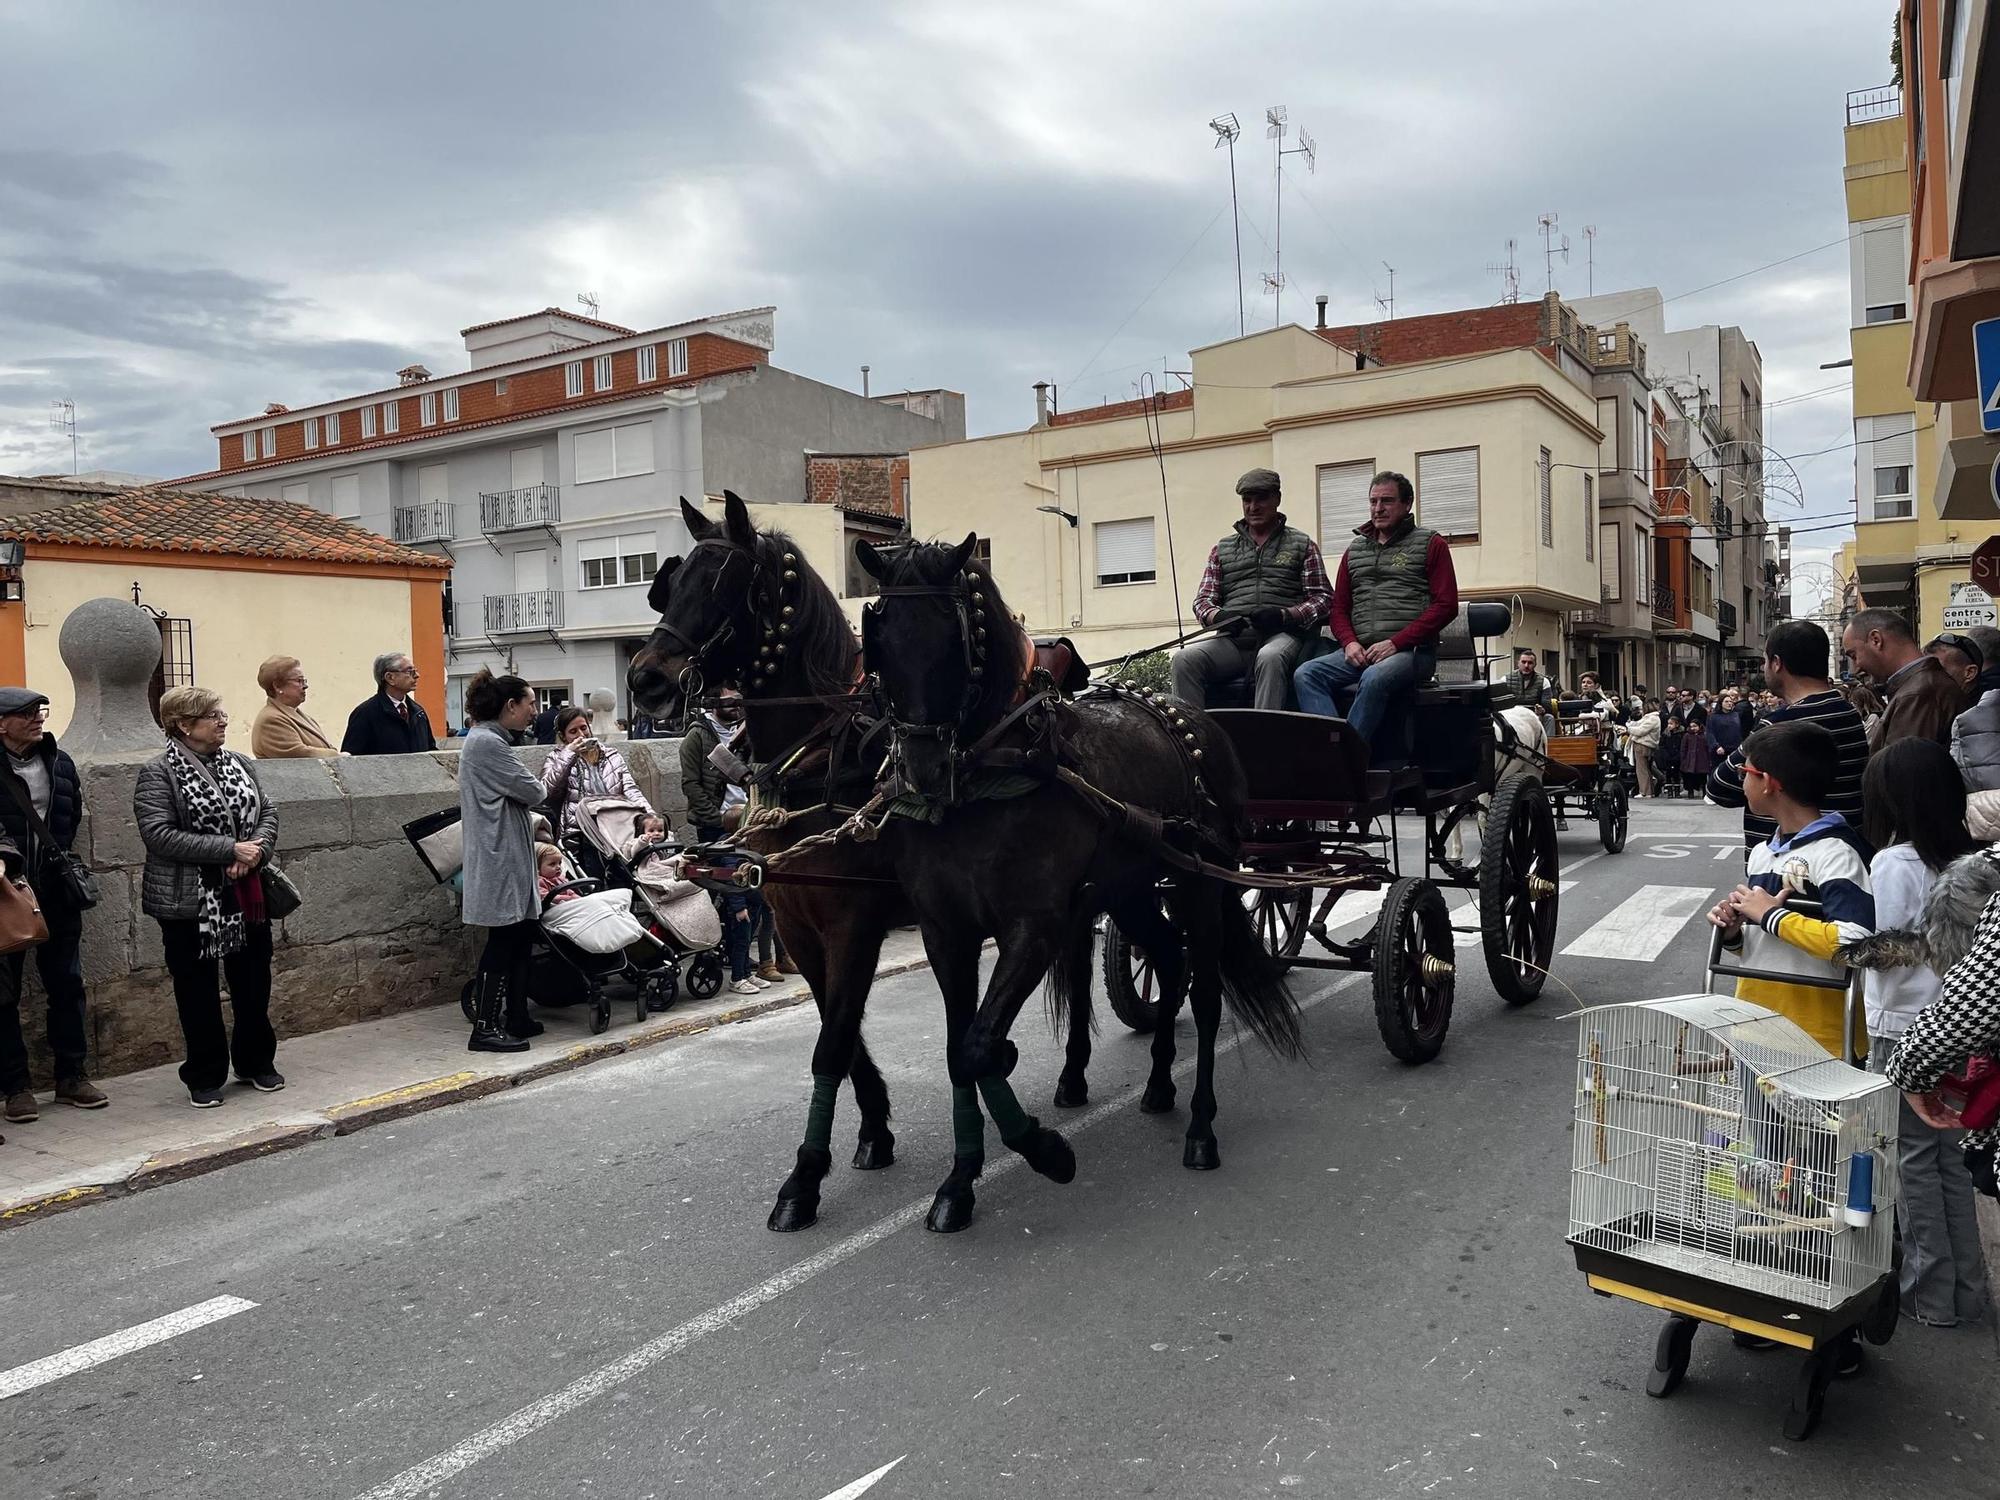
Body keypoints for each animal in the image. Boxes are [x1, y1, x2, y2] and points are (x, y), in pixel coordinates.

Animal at [624, 500, 1096, 1240]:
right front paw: (874, 1128)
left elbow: (832, 1041)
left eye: (725, 587)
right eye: (672, 585)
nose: (645, 678)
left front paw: (805, 1177)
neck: (824, 757)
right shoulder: (796, 926)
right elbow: (837, 1036)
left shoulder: (852, 922)